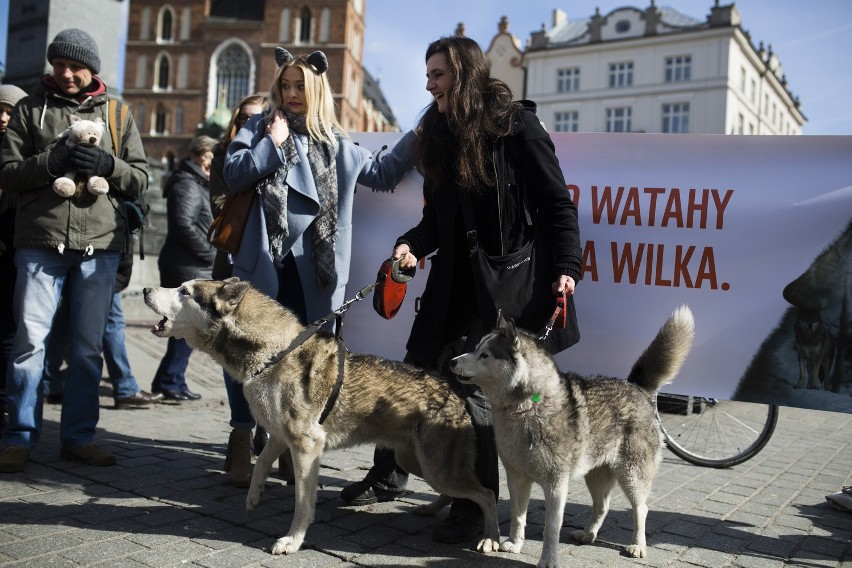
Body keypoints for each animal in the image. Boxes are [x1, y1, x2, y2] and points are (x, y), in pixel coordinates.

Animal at [140, 278, 500, 556]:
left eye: (185, 291)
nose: (144, 289)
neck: (273, 353)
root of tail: (450, 386)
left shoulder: (307, 445)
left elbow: (303, 502)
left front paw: (292, 541)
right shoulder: (279, 435)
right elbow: (260, 464)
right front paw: (253, 497)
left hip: (436, 468)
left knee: (487, 495)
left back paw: (490, 539)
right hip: (415, 462)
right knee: (454, 493)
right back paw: (429, 510)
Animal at [450, 308, 696, 564]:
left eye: (484, 355)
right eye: (475, 348)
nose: (451, 361)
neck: (527, 406)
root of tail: (636, 387)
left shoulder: (556, 485)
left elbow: (551, 528)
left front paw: (548, 561)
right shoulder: (516, 477)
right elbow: (518, 516)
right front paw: (515, 543)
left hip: (631, 476)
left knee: (641, 509)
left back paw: (637, 545)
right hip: (596, 475)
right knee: (602, 506)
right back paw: (588, 534)